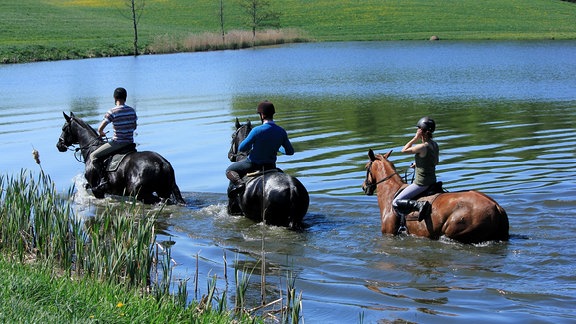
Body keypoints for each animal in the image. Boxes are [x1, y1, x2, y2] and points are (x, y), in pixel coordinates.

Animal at [56, 110, 184, 204]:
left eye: (64, 128)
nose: (59, 145)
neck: (91, 149)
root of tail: (162, 163)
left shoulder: (97, 190)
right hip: (163, 190)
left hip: (140, 193)